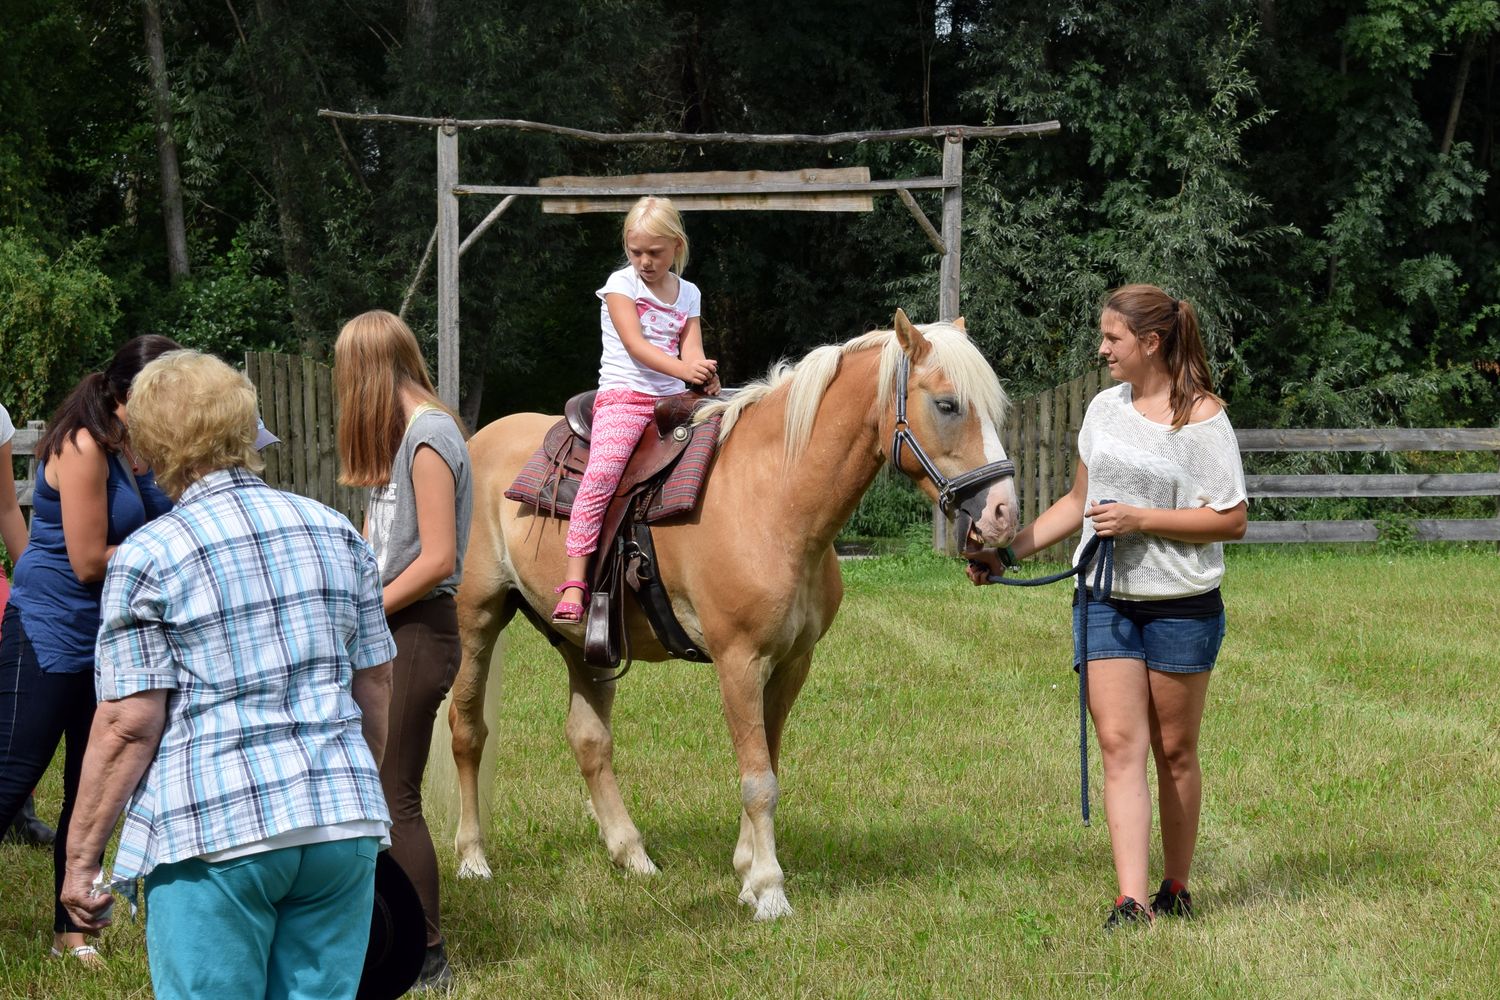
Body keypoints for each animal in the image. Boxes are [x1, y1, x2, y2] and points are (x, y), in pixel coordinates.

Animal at [450, 308, 1020, 917]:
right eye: (947, 404)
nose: (1004, 514)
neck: (774, 497)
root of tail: (477, 442)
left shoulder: (791, 664)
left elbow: (767, 762)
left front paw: (747, 871)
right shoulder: (739, 662)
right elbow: (757, 781)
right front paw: (769, 890)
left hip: (586, 644)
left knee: (589, 740)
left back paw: (632, 854)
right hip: (476, 619)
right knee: (467, 730)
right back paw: (472, 859)